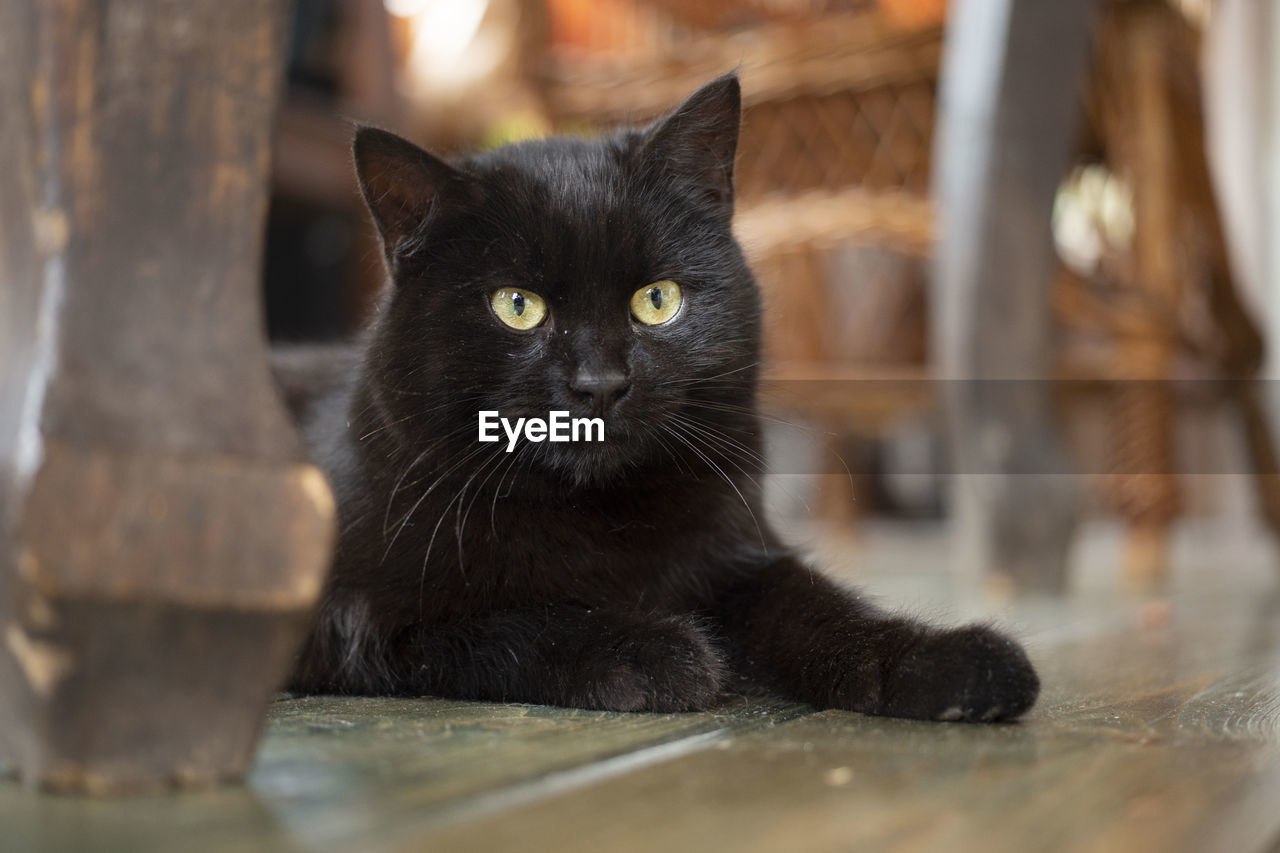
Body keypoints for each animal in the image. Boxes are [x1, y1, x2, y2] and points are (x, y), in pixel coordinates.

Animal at [288, 76, 1039, 722]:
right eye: (516, 306)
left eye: (657, 299)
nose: (600, 383)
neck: (600, 516)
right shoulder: (353, 616)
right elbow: (514, 619)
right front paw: (657, 651)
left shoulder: (740, 555)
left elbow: (821, 608)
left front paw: (948, 663)